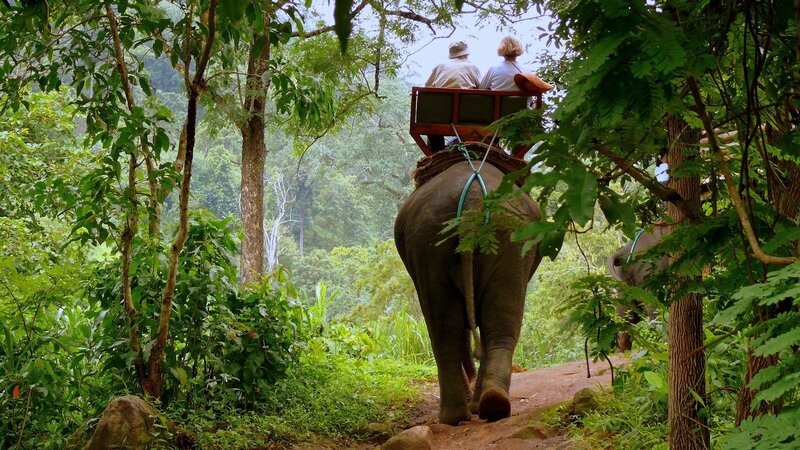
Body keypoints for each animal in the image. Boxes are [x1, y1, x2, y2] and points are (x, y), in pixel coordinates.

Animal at [394, 153, 542, 425]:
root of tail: (473, 197)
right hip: (503, 236)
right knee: (490, 326)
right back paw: (484, 407)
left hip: (436, 238)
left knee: (449, 328)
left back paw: (465, 412)